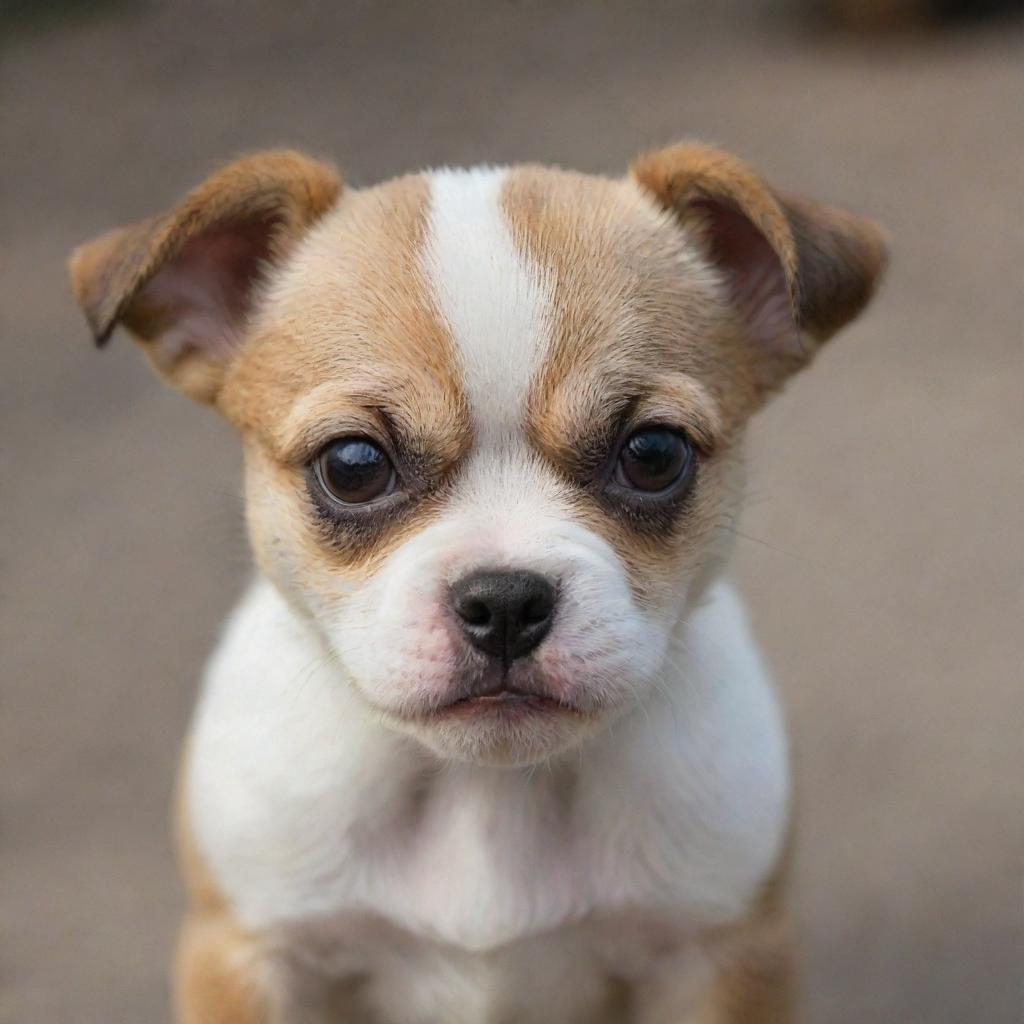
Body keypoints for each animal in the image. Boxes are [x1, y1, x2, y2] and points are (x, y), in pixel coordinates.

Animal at [72, 146, 888, 1024]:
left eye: (654, 454)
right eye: (352, 465)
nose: (504, 602)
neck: (485, 789)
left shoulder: (715, 957)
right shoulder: (251, 955)